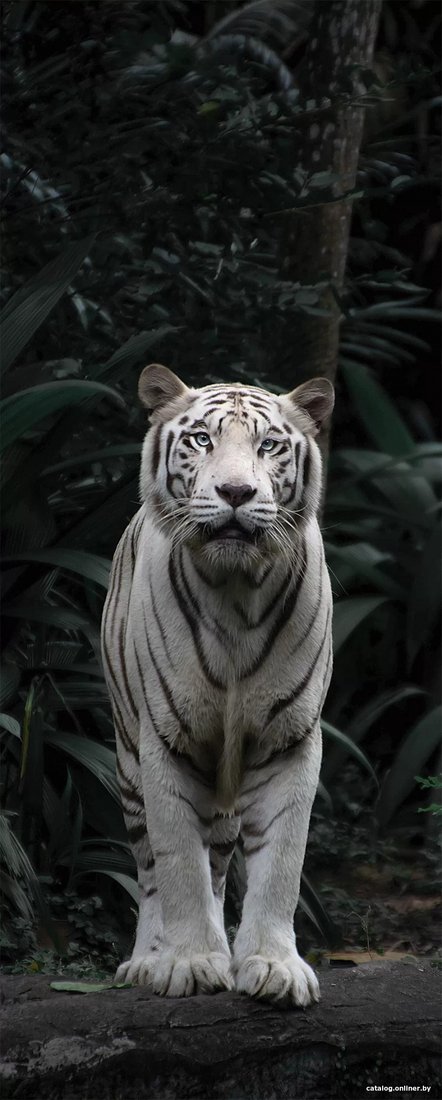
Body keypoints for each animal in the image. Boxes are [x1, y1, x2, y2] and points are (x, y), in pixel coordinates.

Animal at [101, 363, 334, 1006]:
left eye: (269, 445)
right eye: (202, 439)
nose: (235, 493)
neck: (236, 592)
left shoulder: (289, 740)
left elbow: (281, 863)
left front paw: (273, 966)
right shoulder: (165, 741)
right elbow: (179, 863)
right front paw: (190, 963)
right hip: (127, 760)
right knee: (151, 869)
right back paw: (147, 961)